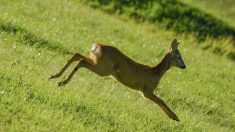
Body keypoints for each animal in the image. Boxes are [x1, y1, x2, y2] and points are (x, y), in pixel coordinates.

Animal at [49, 38, 185, 120]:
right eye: (179, 56)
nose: (184, 66)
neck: (156, 73)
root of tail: (98, 46)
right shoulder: (146, 91)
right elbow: (162, 101)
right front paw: (175, 117)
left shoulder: (147, 91)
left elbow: (161, 101)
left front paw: (173, 117)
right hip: (103, 68)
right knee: (81, 61)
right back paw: (61, 82)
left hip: (97, 61)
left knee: (77, 55)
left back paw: (55, 76)